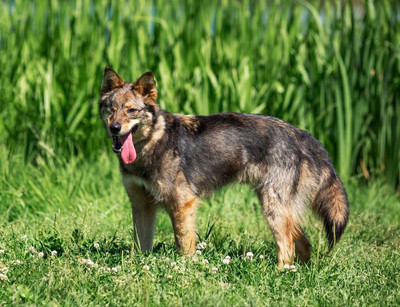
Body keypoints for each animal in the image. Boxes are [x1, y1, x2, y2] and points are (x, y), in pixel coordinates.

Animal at [98, 68, 348, 268]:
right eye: (111, 109)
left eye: (131, 110)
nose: (114, 128)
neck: (152, 143)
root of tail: (302, 134)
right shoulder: (142, 206)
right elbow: (141, 245)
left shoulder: (182, 205)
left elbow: (184, 245)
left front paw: (184, 270)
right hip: (281, 210)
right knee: (303, 245)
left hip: (273, 209)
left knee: (287, 248)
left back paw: (278, 273)